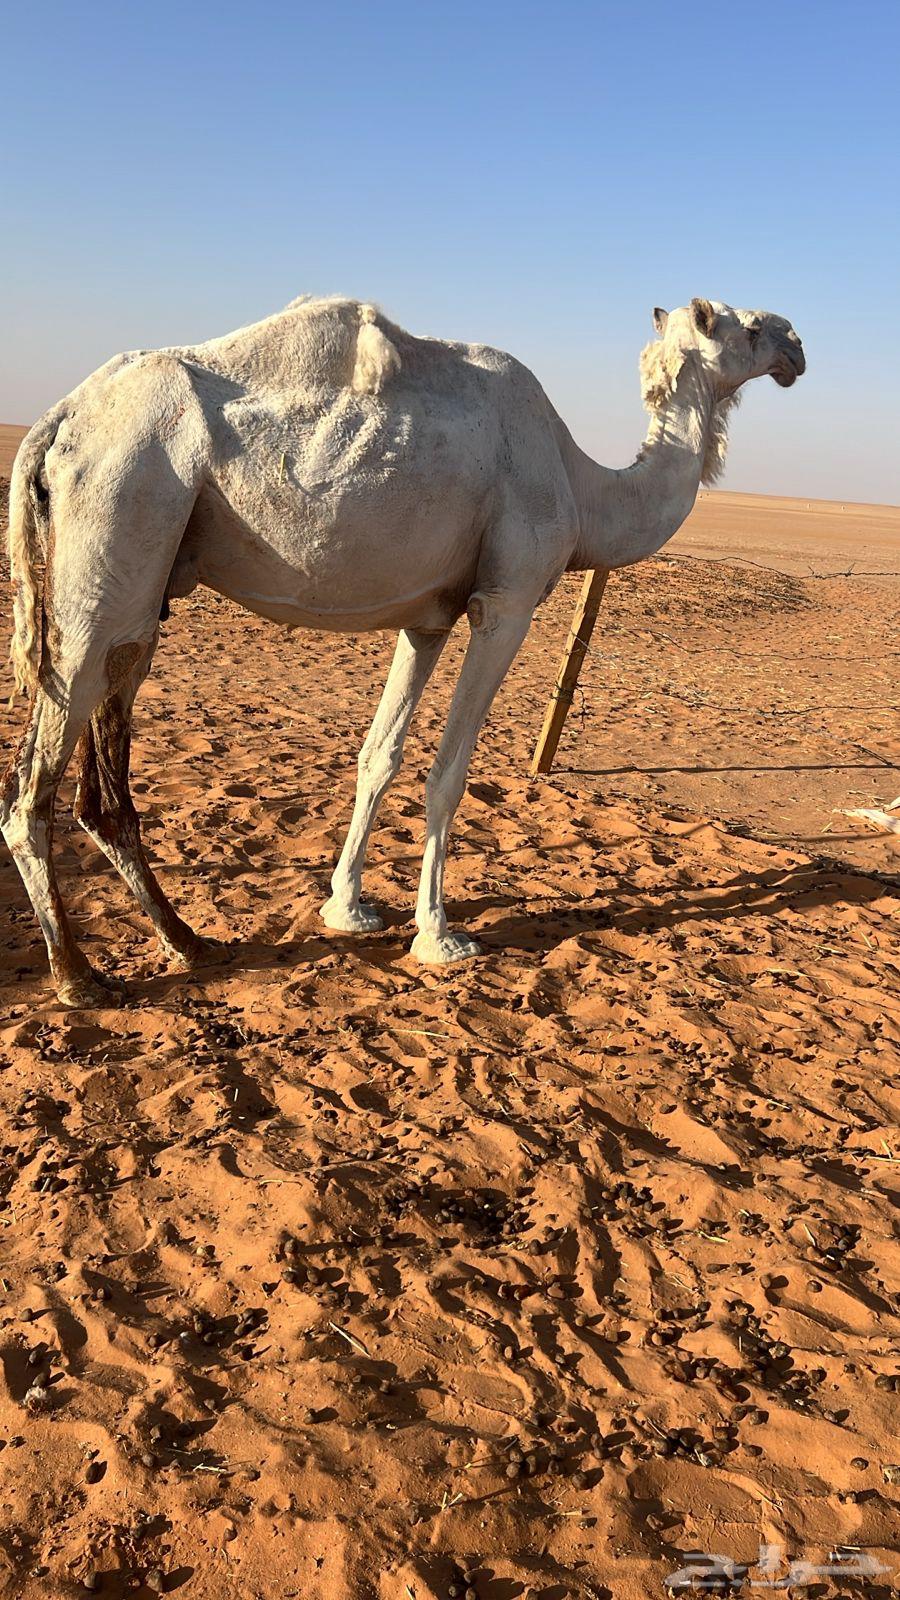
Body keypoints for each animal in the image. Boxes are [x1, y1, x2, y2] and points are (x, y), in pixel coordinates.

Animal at [2, 295, 805, 1006]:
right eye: (750, 326)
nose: (797, 346)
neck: (584, 488)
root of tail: (58, 421)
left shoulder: (428, 620)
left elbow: (379, 755)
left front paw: (347, 908)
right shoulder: (505, 602)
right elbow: (449, 772)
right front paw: (438, 935)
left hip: (145, 589)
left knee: (105, 774)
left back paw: (188, 941)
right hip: (116, 526)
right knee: (30, 788)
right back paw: (77, 976)